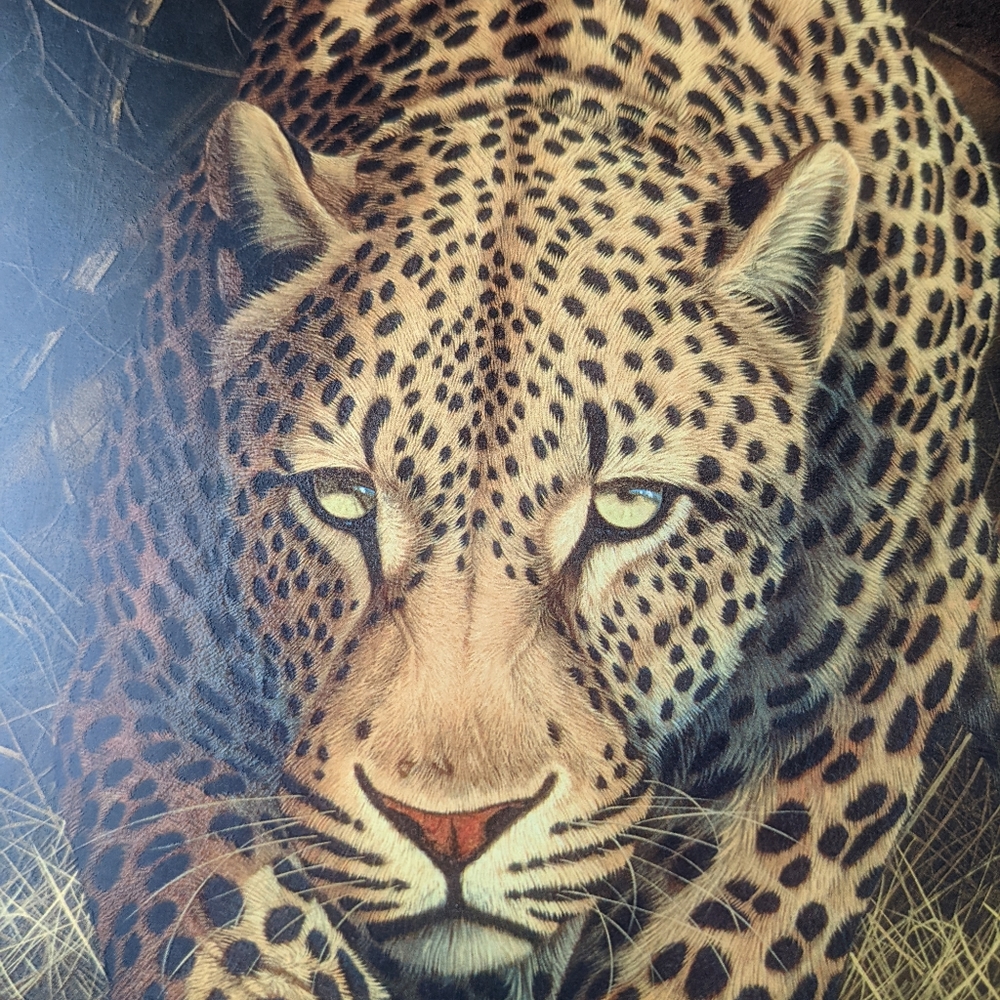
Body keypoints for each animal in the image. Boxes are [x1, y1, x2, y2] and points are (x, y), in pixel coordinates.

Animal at [55, 0, 1000, 998]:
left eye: (630, 509)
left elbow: (732, 942)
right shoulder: (132, 686)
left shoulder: (866, 693)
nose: (451, 829)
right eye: (343, 497)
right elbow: (238, 936)